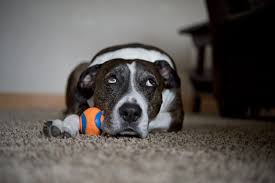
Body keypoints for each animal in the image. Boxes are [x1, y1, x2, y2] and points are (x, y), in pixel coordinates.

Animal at [44, 43, 184, 138]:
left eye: (150, 82)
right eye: (112, 79)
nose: (130, 112)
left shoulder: (176, 116)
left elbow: (157, 119)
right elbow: (77, 112)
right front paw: (65, 125)